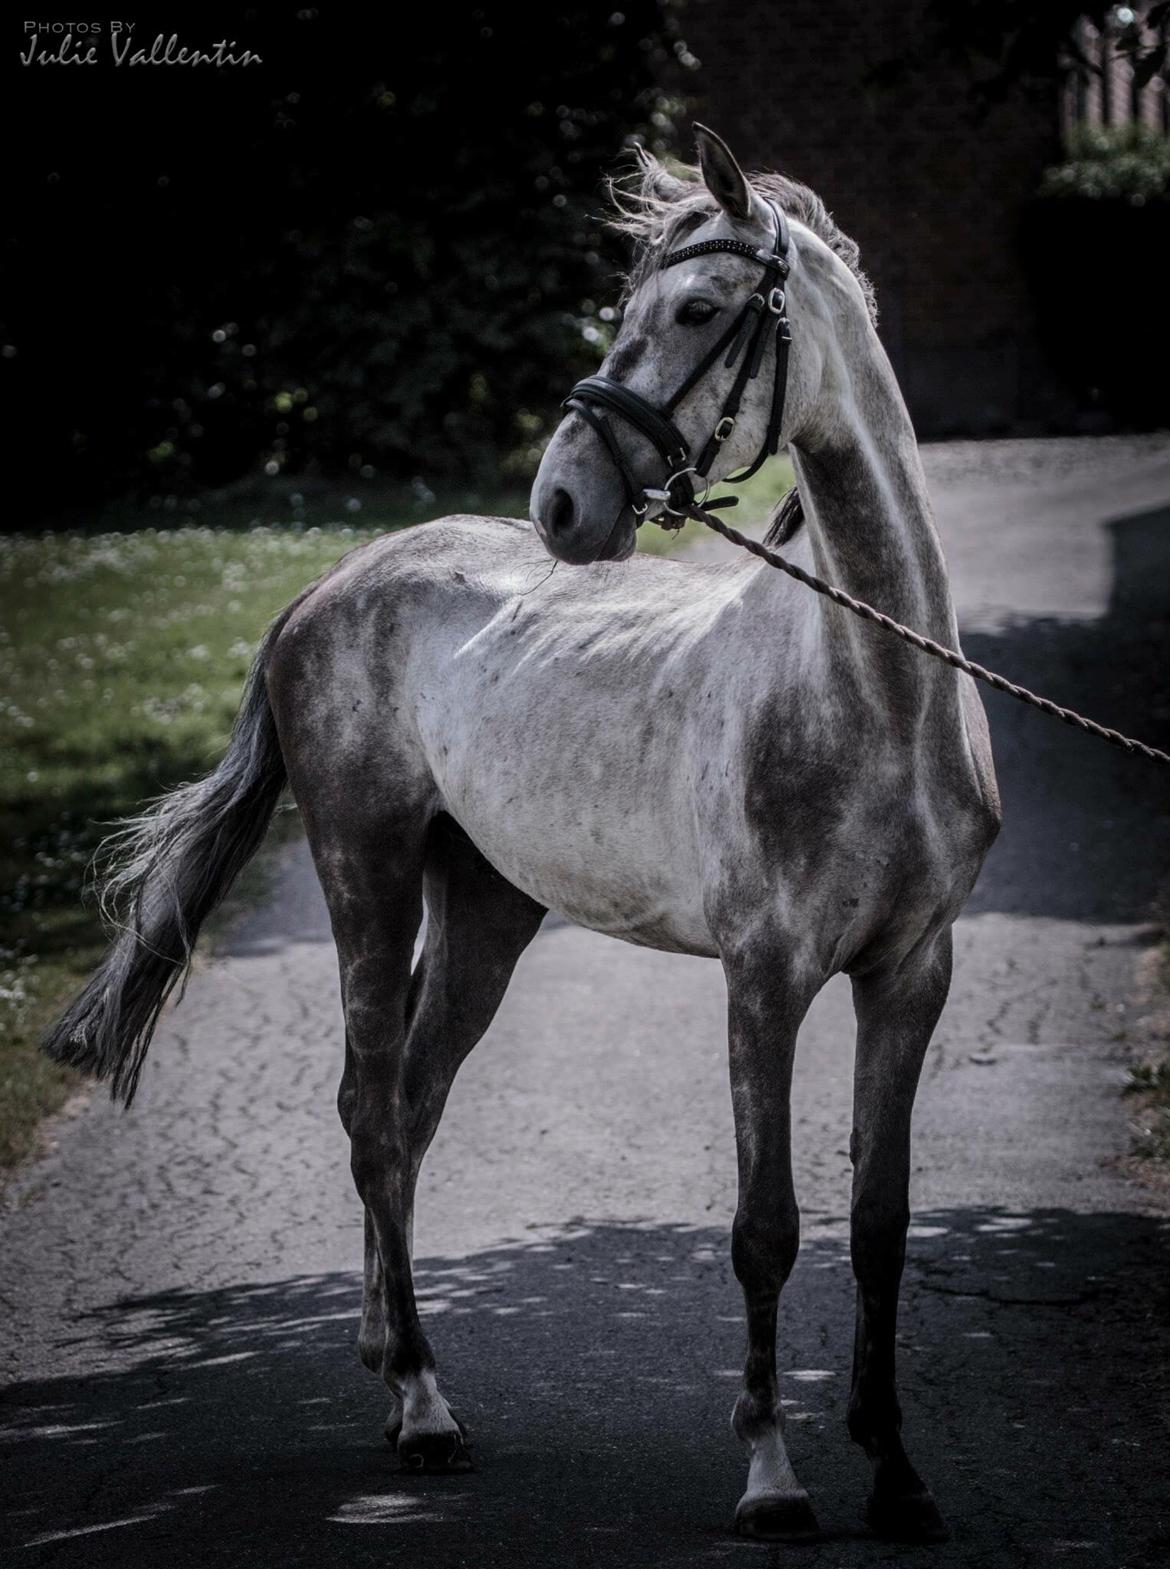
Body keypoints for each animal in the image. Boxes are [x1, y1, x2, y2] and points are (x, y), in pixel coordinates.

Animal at [45, 125, 991, 1543]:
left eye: (698, 311)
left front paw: (898, 1475)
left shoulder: (910, 975)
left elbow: (880, 1224)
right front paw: (771, 1478)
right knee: (372, 1113)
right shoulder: (764, 979)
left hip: (488, 910)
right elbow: (766, 1227)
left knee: (410, 1105)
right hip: (367, 875)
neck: (876, 688)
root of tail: (324, 588)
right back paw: (425, 1408)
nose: (560, 501)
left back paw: (390, 1364)